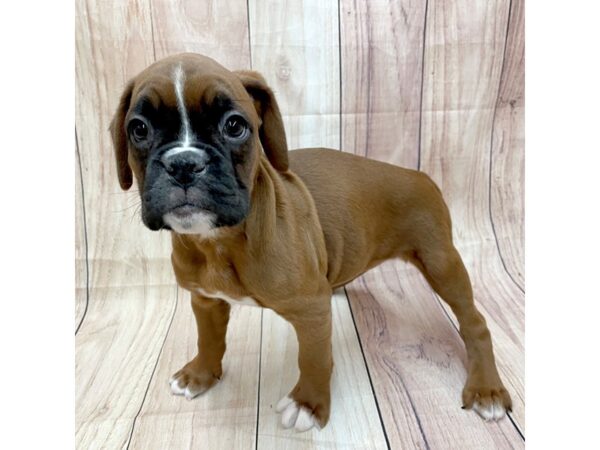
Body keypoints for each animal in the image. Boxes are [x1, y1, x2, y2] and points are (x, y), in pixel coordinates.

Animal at [111, 53, 510, 432]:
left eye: (235, 126)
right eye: (139, 129)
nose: (184, 163)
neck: (218, 240)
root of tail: (420, 175)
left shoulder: (311, 310)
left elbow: (314, 357)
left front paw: (308, 403)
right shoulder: (206, 301)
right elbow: (208, 340)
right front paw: (200, 375)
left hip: (442, 263)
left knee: (475, 322)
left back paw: (487, 390)